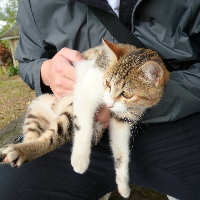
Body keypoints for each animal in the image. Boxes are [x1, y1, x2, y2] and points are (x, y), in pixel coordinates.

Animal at [0, 39, 169, 198]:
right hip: (42, 104)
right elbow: (83, 125)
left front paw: (123, 185)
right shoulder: (86, 89)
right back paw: (20, 150)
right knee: (46, 137)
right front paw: (80, 159)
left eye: (127, 94)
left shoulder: (123, 120)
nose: (109, 103)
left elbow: (121, 152)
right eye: (108, 83)